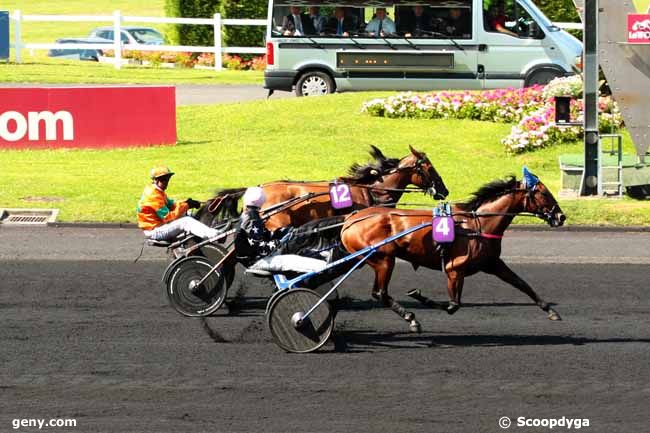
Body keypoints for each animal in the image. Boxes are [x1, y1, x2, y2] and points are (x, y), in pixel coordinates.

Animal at [336, 170, 564, 332]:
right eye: (544, 193)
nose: (561, 217)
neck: (477, 225)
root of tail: (352, 219)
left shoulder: (492, 263)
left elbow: (522, 284)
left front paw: (551, 310)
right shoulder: (456, 268)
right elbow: (453, 305)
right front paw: (420, 296)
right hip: (382, 258)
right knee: (380, 293)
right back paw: (411, 318)